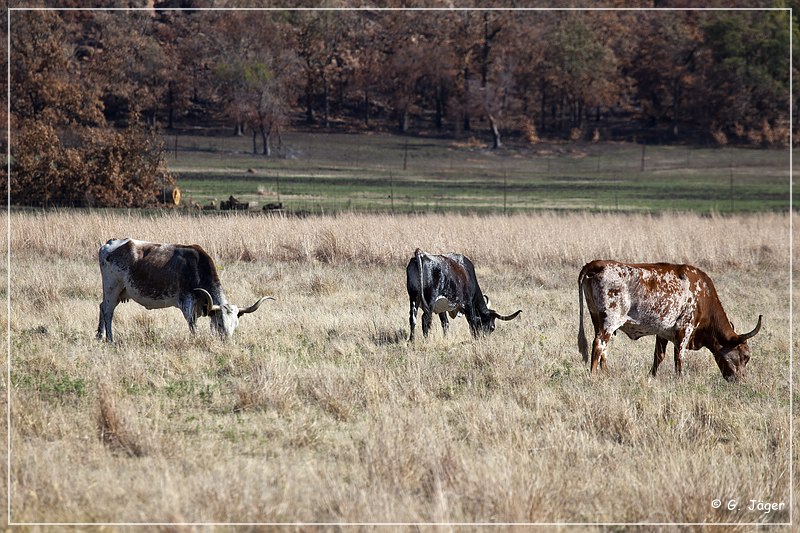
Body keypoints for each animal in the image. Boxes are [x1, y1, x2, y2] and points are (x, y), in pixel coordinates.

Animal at [95, 238, 272, 340]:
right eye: (220, 323)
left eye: (235, 324)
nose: (227, 341)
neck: (197, 267)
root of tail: (109, 243)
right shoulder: (187, 304)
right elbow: (193, 327)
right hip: (112, 288)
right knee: (108, 311)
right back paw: (110, 339)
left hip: (119, 292)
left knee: (102, 306)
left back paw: (100, 336)